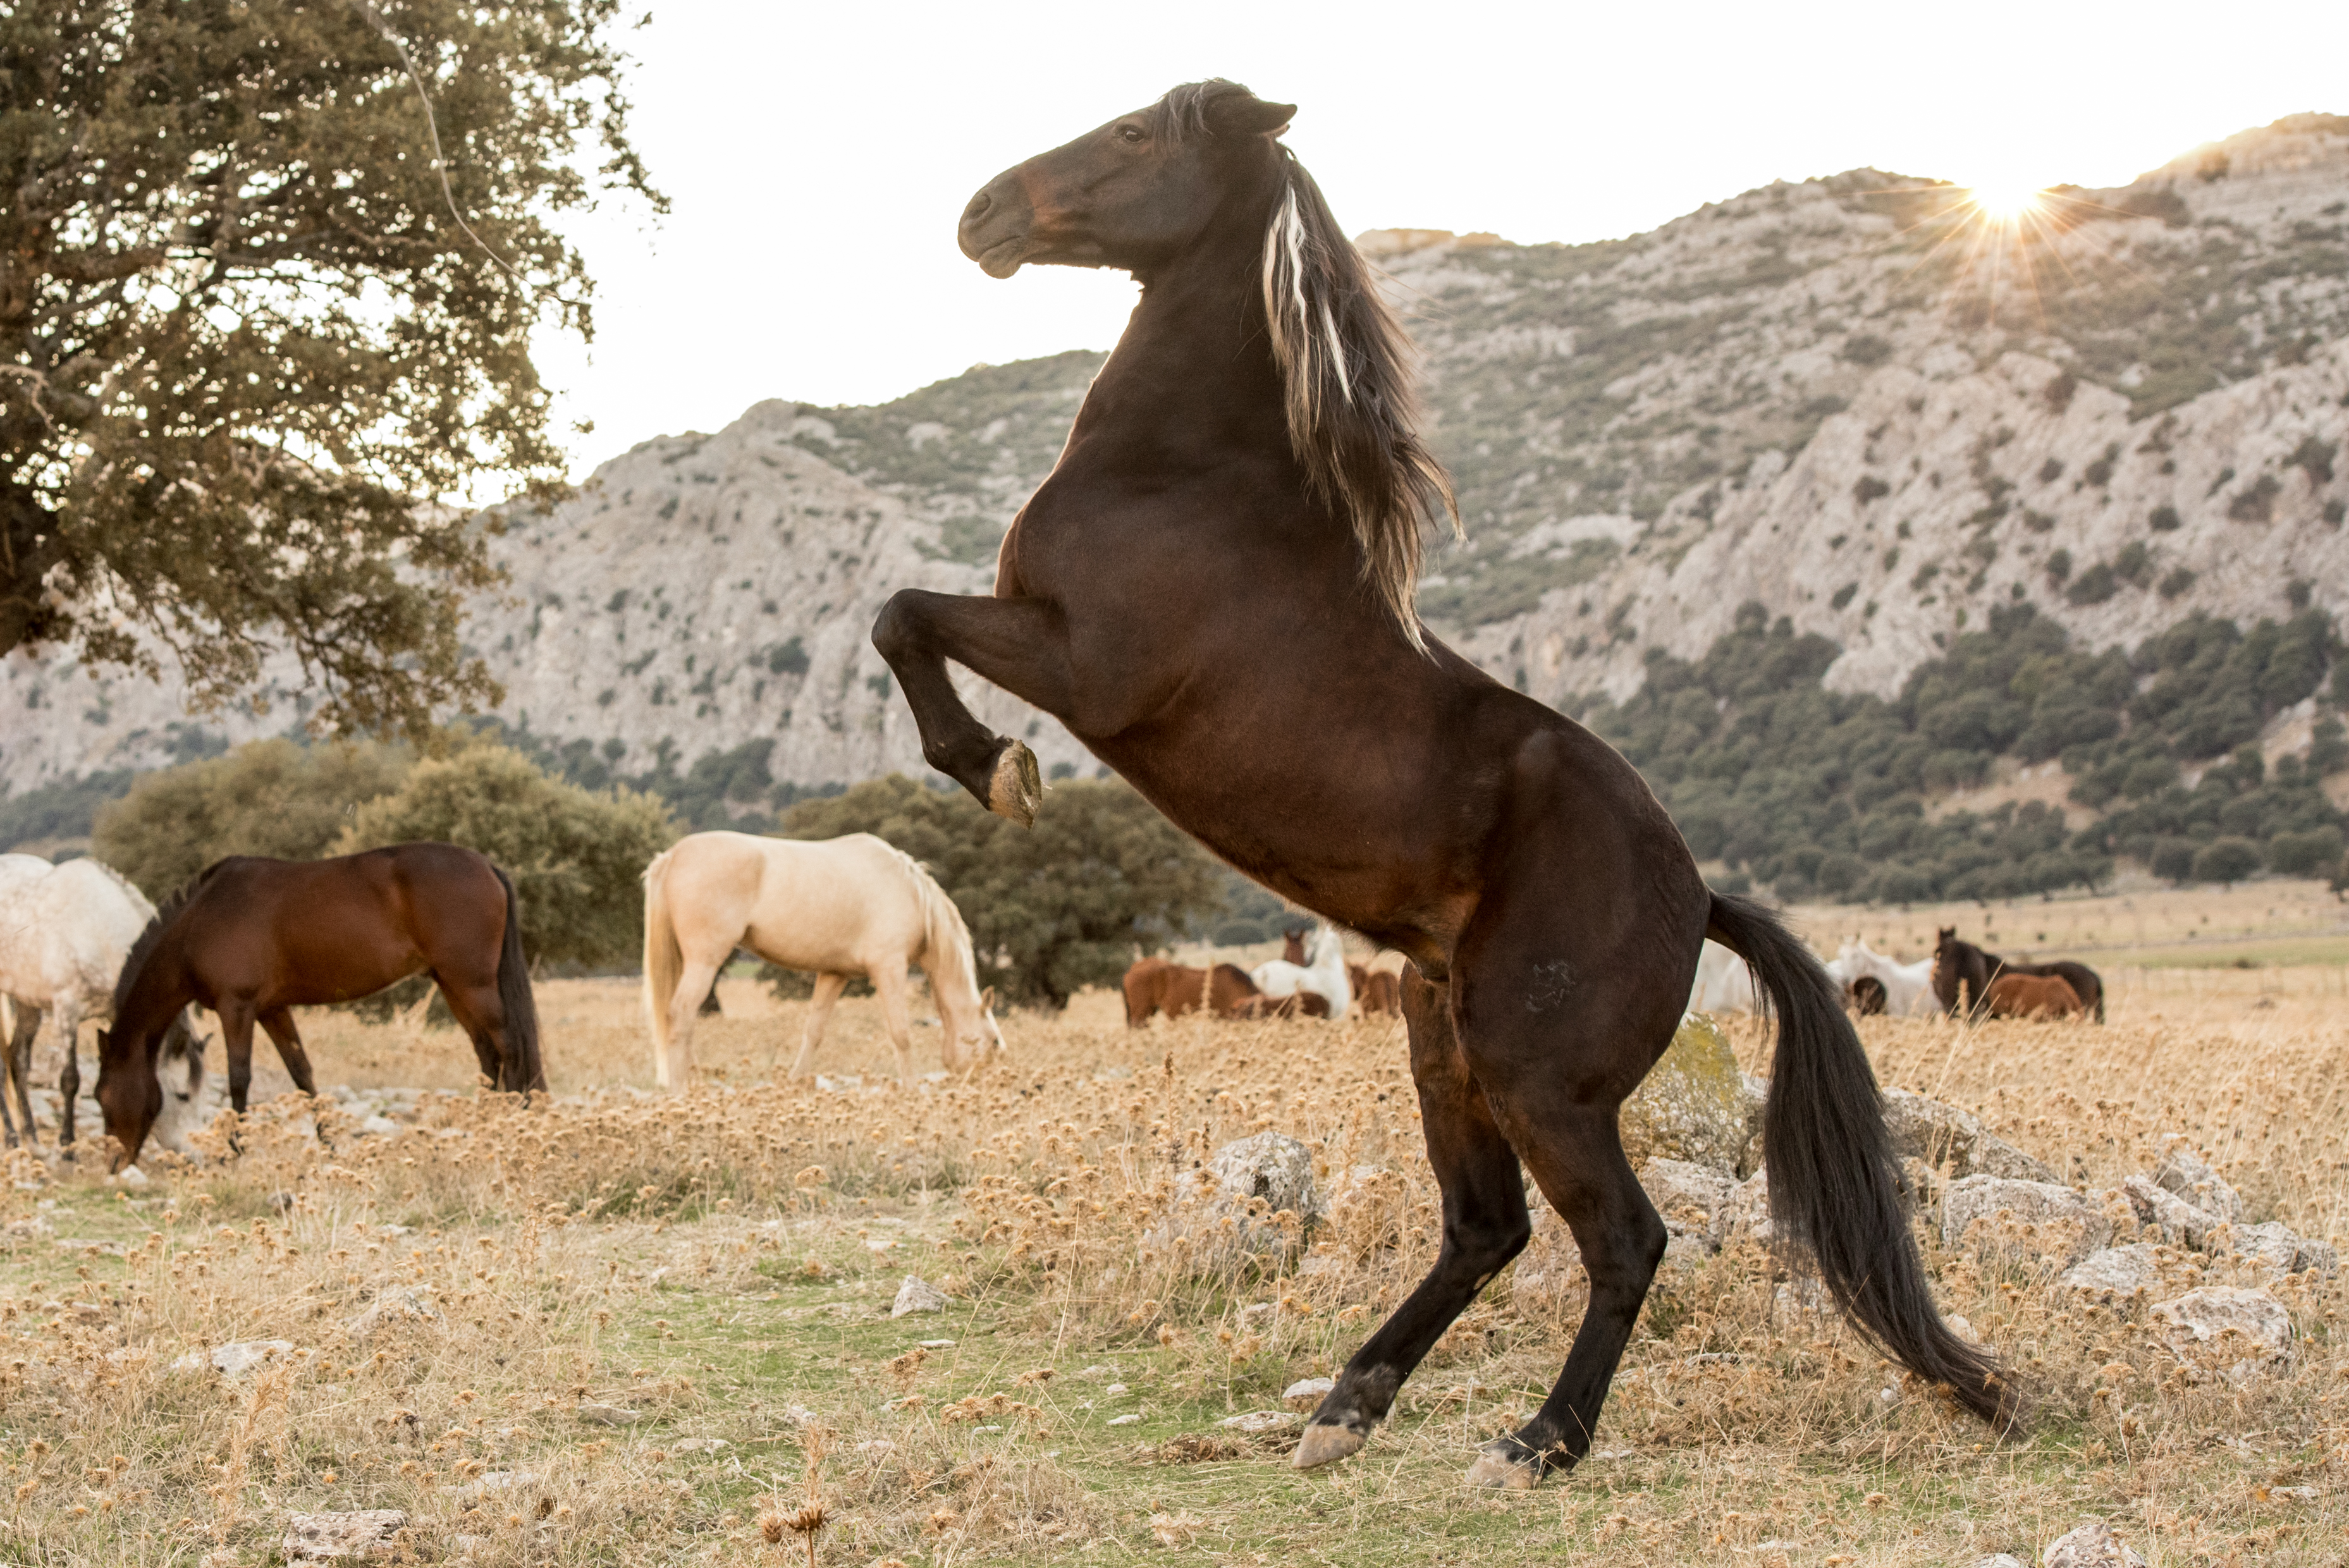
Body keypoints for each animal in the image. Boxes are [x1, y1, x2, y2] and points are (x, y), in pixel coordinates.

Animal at [0, 859, 206, 1150]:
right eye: (183, 1095)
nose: (197, 1154)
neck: (97, 930)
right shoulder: (66, 1009)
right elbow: (70, 1079)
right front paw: (68, 1148)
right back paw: (12, 1137)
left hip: (27, 1002)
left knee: (17, 1059)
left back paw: (32, 1139)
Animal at [92, 845, 540, 1164]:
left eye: (102, 1094)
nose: (115, 1163)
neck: (200, 922)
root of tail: (487, 866)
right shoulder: (272, 1009)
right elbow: (302, 1073)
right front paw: (330, 1146)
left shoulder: (237, 1007)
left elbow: (239, 1079)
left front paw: (237, 1150)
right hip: (451, 985)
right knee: (486, 1053)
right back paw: (484, 1129)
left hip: (472, 983)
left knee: (509, 1047)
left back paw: (516, 1124)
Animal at [639, 831, 1005, 1089]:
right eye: (993, 1044)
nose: (987, 1090)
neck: (910, 893)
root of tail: (672, 856)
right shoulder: (890, 968)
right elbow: (901, 1033)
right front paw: (912, 1090)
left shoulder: (834, 974)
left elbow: (813, 1032)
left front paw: (795, 1084)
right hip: (705, 962)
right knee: (681, 1014)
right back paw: (681, 1089)